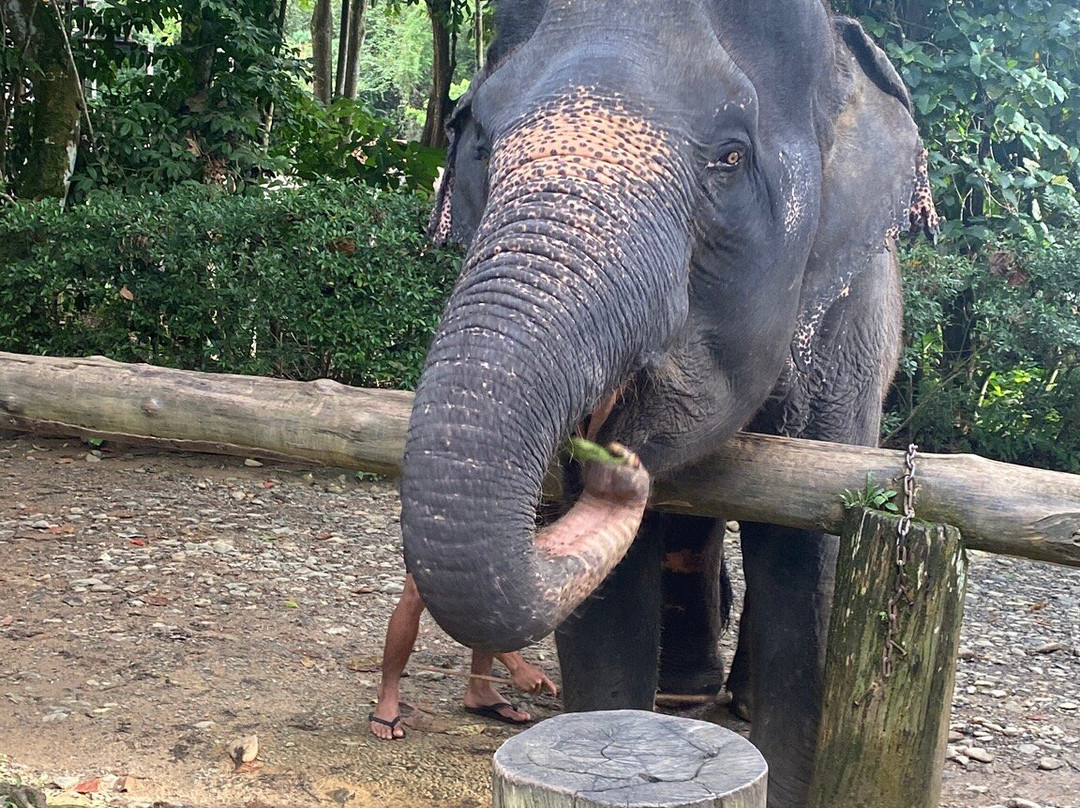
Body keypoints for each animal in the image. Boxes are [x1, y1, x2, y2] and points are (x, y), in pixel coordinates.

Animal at [400, 2, 939, 806]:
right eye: (479, 141)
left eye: (731, 157)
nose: (607, 459)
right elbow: (609, 595)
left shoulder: (848, 334)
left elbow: (807, 559)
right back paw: (685, 692)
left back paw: (725, 698)